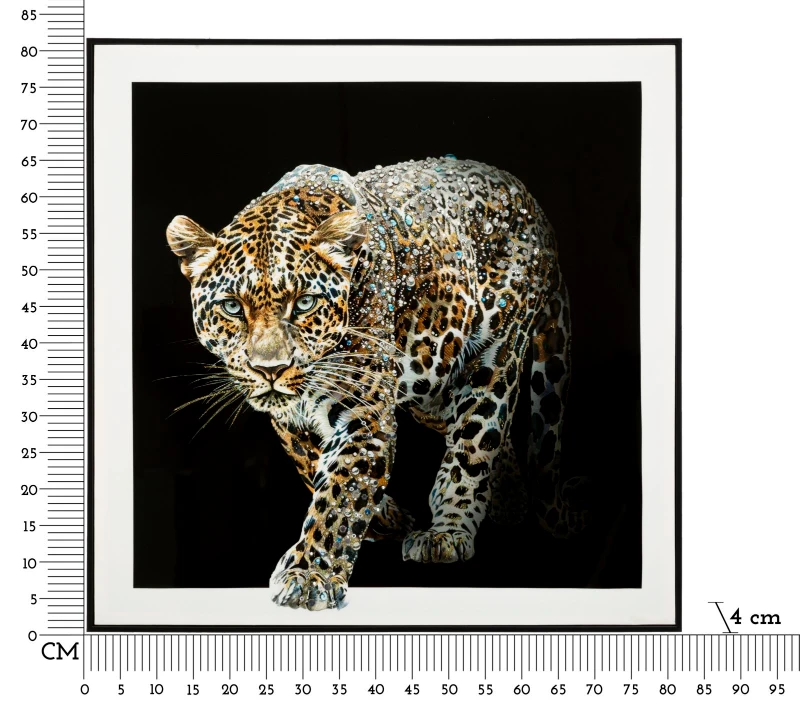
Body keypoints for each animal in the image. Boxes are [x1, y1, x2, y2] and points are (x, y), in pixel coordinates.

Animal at [167, 156, 583, 611]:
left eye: (305, 303)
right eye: (231, 307)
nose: (270, 369)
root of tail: (529, 199)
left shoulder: (365, 414)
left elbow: (339, 495)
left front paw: (309, 575)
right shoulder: (291, 421)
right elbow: (314, 465)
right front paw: (385, 519)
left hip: (496, 354)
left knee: (475, 440)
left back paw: (448, 531)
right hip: (432, 382)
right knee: (488, 434)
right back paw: (508, 502)